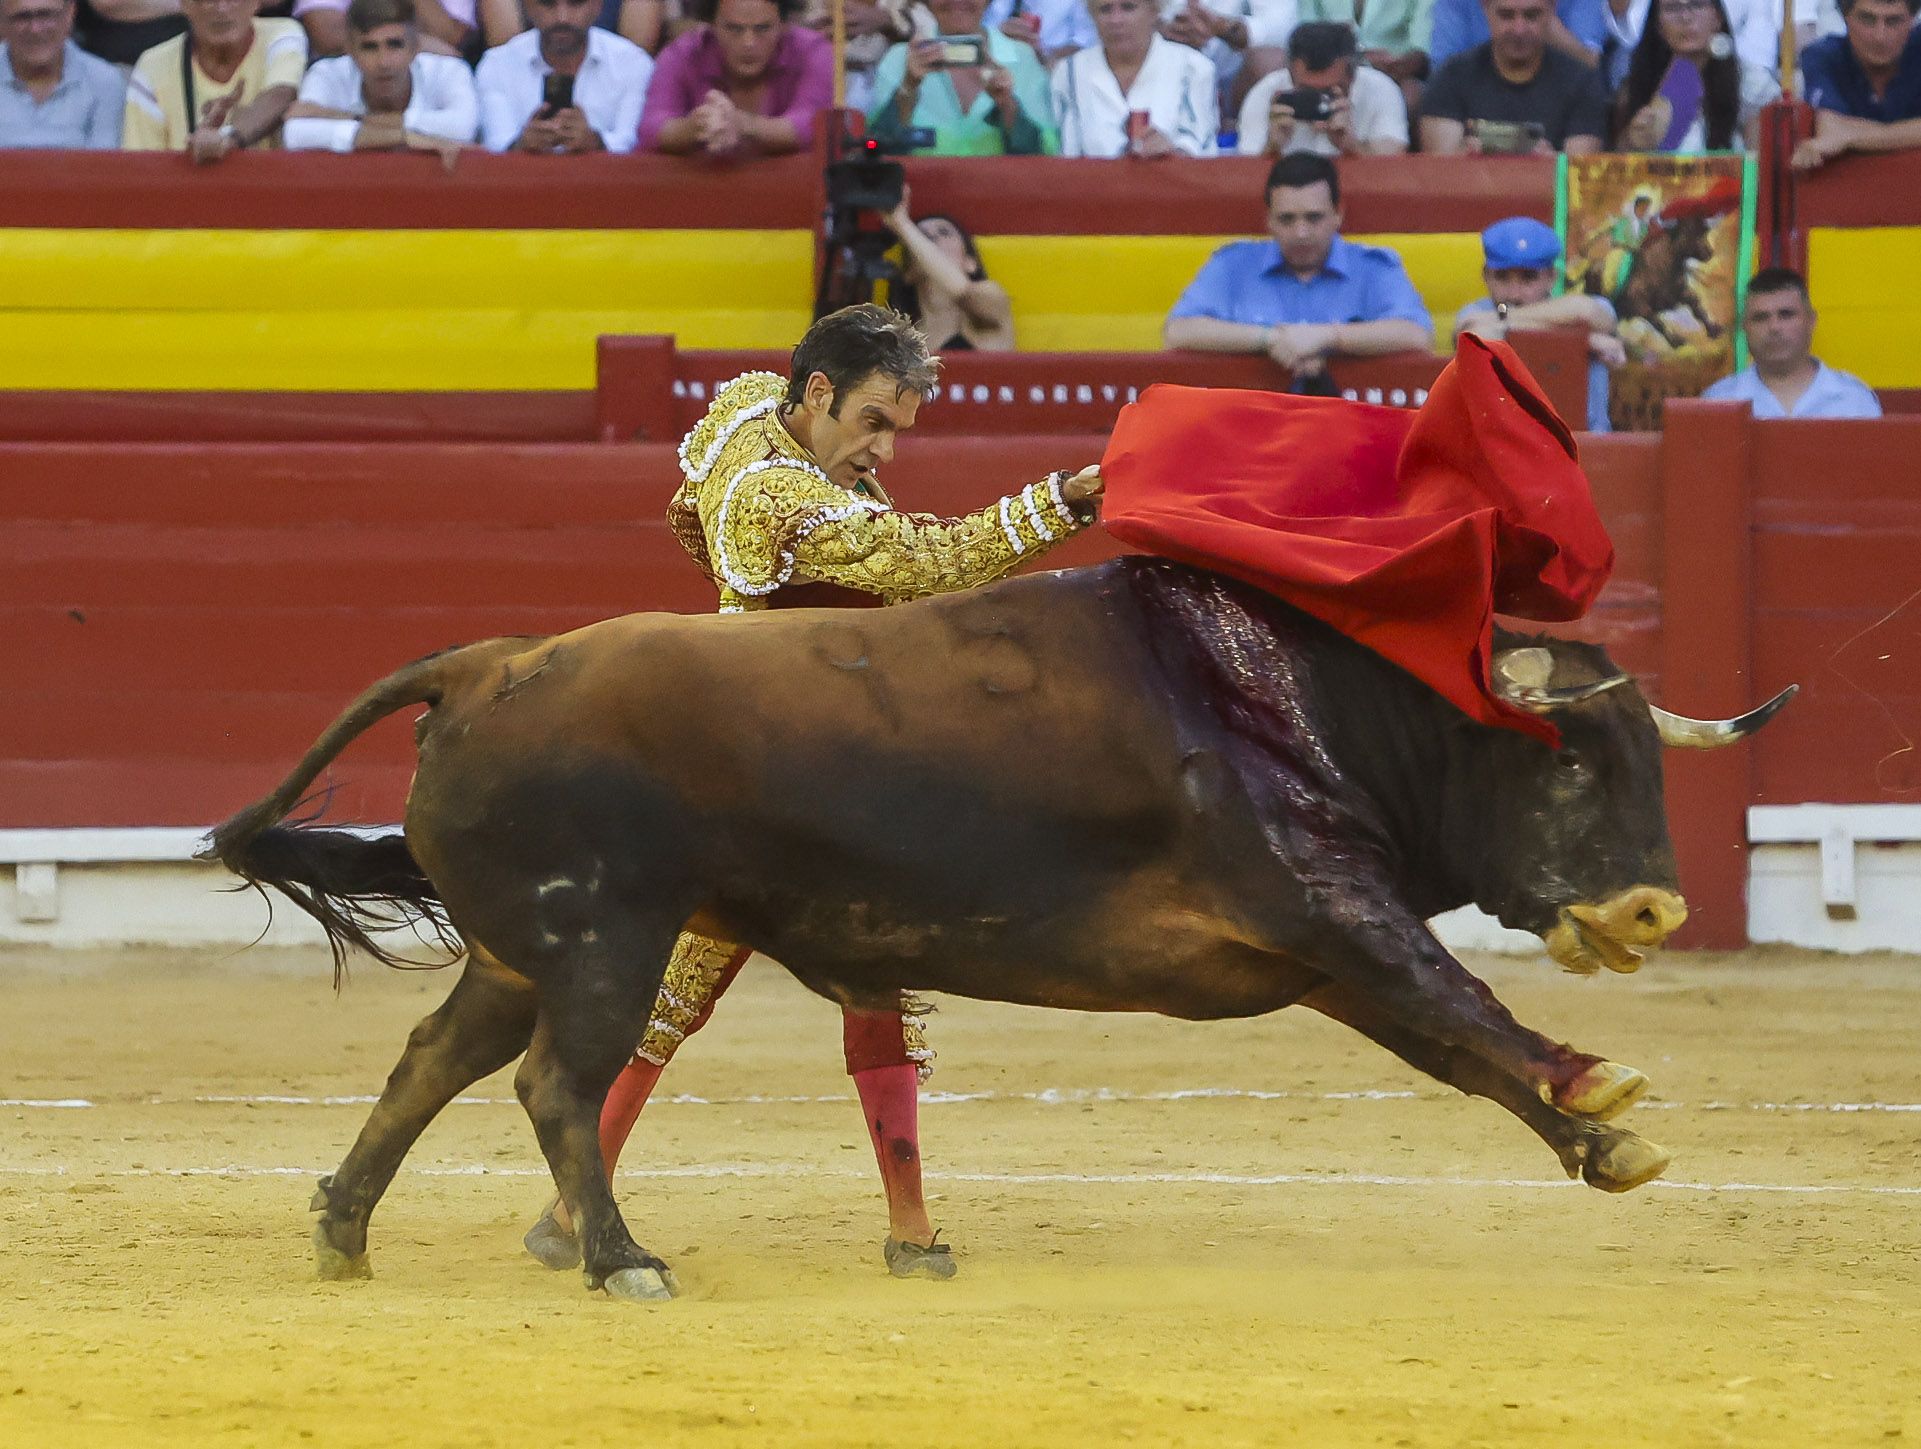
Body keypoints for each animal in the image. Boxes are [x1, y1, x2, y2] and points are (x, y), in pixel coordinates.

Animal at [214, 553, 1798, 1299]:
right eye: (1569, 761)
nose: (1657, 905)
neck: (1310, 695)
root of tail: (485, 660)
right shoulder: (1320, 898)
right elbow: (1458, 997)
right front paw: (1601, 1087)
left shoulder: (1314, 947)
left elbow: (1450, 1042)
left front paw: (1601, 1143)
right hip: (607, 933)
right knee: (557, 1083)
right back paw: (620, 1260)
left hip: (516, 950)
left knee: (435, 1059)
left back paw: (342, 1232)